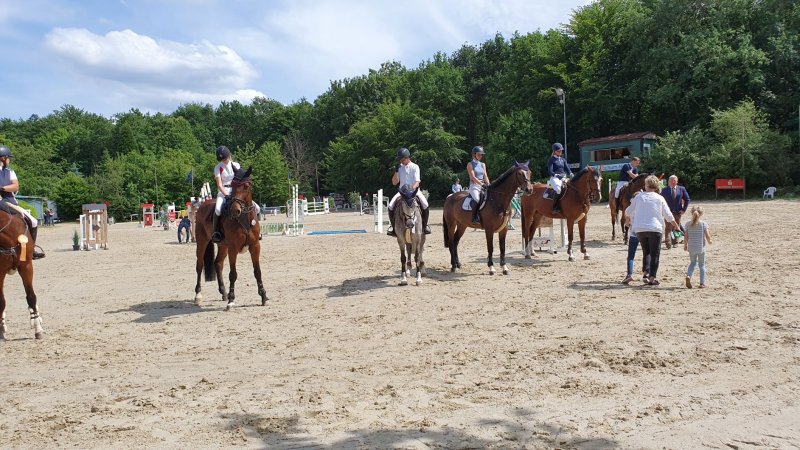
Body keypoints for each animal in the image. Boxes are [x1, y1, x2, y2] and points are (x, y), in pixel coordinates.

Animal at [0, 204, 44, 340]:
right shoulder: (0, 272)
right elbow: (1, 301)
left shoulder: (26, 267)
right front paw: (1, 329)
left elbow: (31, 297)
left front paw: (38, 328)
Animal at [193, 166, 268, 310]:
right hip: (202, 242)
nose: (235, 210)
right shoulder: (233, 248)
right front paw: (231, 300)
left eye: (246, 186)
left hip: (223, 246)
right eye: (232, 185)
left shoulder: (255, 246)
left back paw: (223, 292)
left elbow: (257, 271)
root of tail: (203, 205)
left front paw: (263, 296)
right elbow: (233, 274)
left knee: (218, 263)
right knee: (199, 266)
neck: (244, 218)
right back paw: (198, 296)